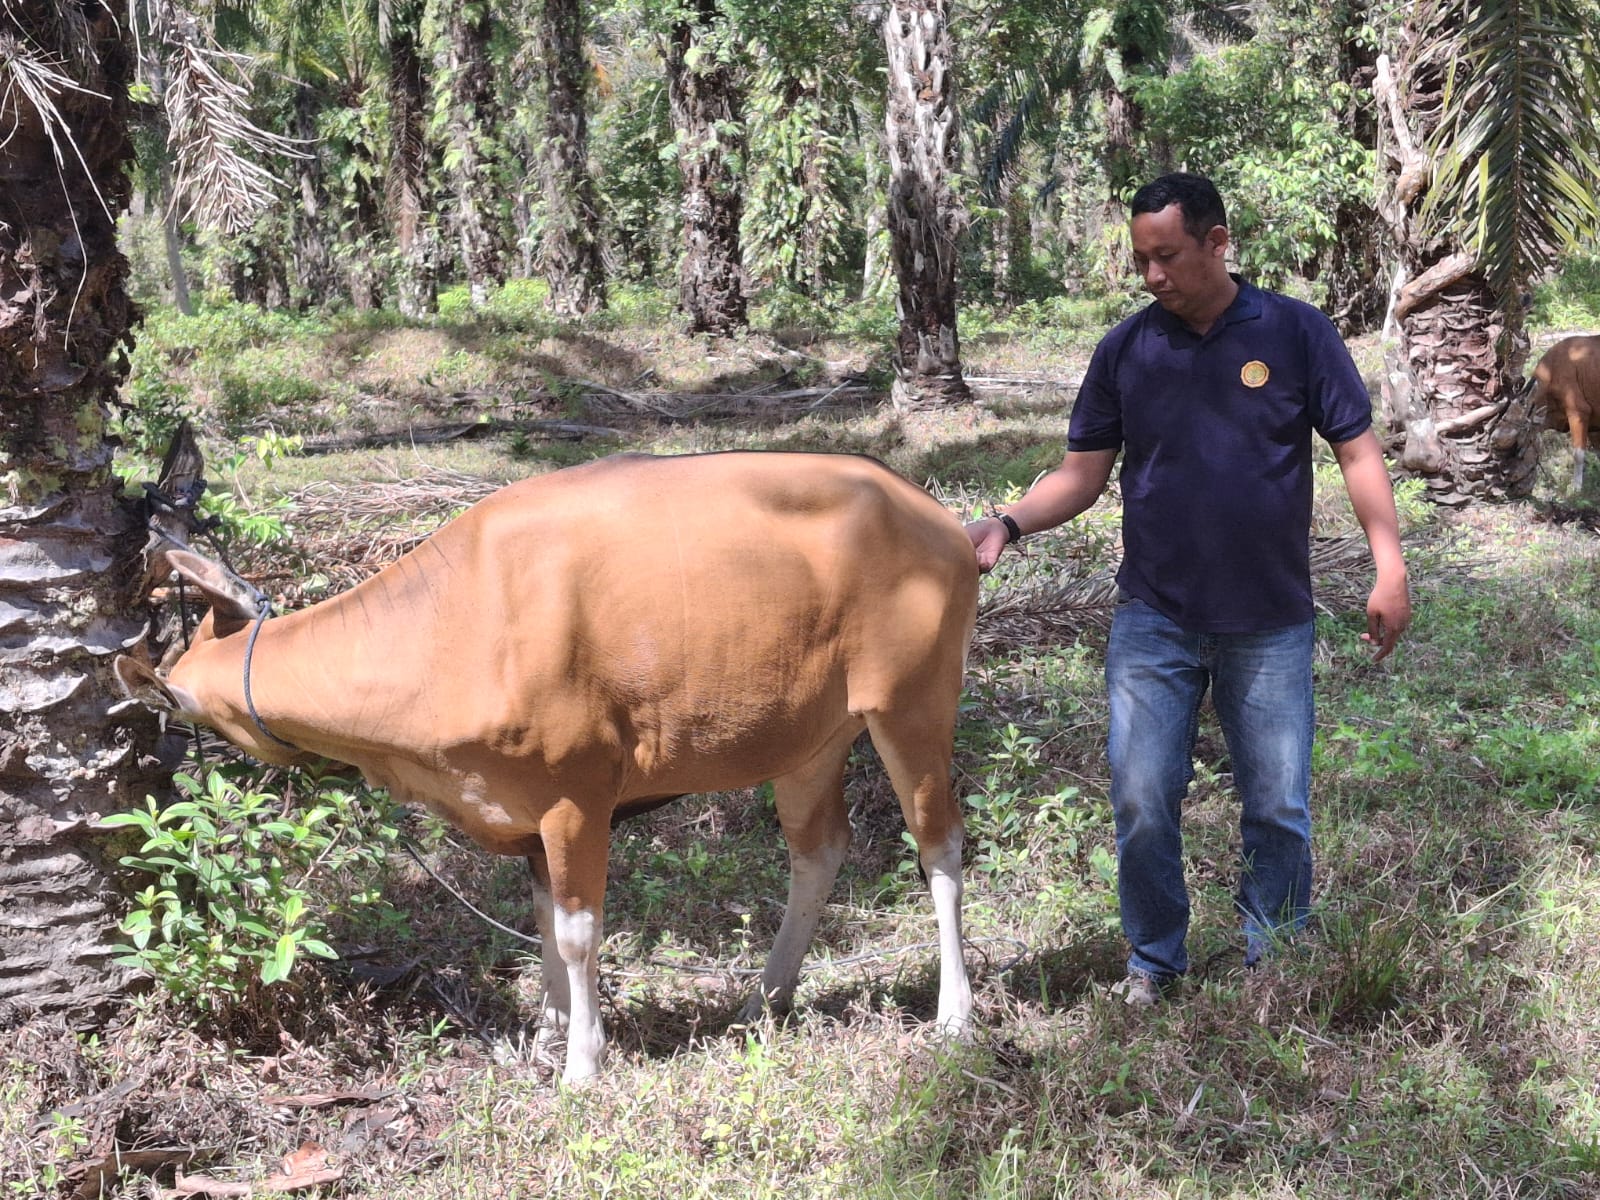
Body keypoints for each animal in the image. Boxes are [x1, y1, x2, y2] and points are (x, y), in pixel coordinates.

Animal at [116, 454, 972, 1088]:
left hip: (911, 706)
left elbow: (577, 934)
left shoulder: (576, 798)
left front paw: (583, 1065)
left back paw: (955, 1014)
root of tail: (939, 521)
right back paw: (763, 999)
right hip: (809, 741)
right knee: (817, 852)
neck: (450, 621)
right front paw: (549, 1037)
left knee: (939, 847)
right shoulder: (523, 816)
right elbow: (542, 929)